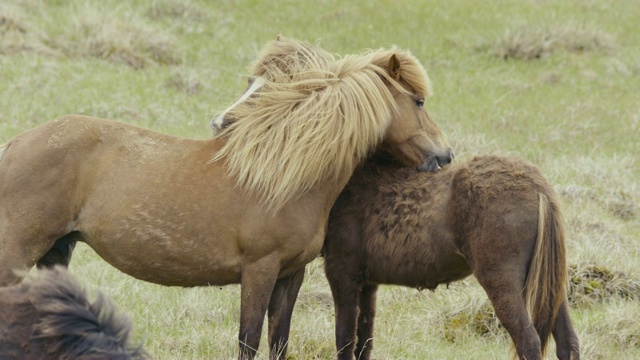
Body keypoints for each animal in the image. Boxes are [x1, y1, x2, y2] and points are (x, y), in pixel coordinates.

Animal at [324, 154, 580, 360]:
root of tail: (537, 186)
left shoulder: (343, 278)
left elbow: (345, 340)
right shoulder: (367, 285)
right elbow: (363, 342)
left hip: (502, 283)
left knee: (528, 341)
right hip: (550, 285)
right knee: (568, 342)